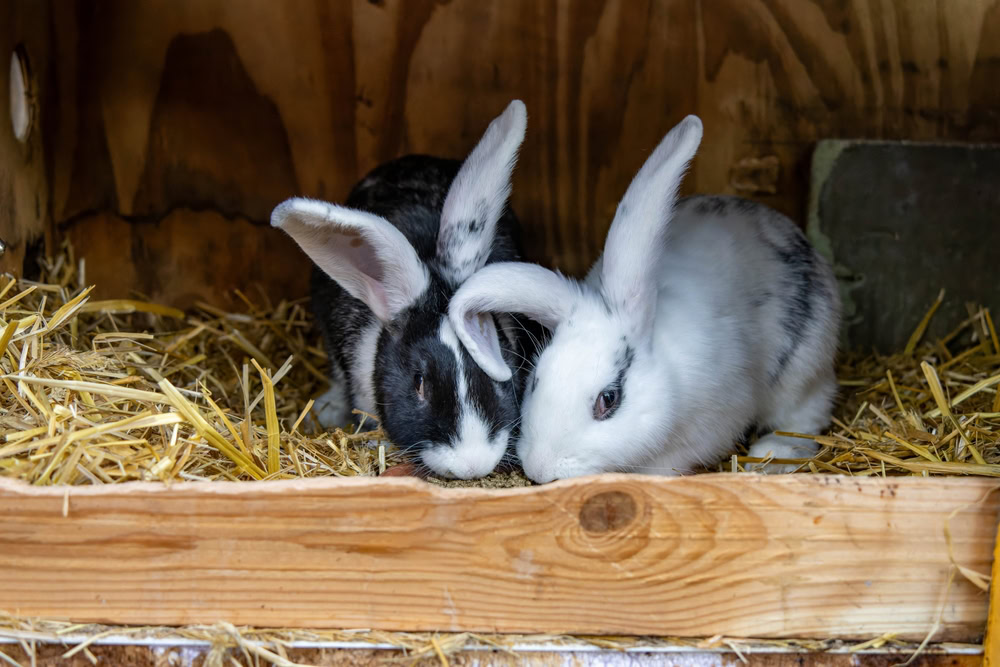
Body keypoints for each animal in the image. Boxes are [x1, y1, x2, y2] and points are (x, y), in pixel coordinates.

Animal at [447, 114, 840, 482]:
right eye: (536, 381)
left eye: (609, 399)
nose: (541, 469)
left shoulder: (713, 423)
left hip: (802, 371)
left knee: (806, 413)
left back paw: (772, 452)